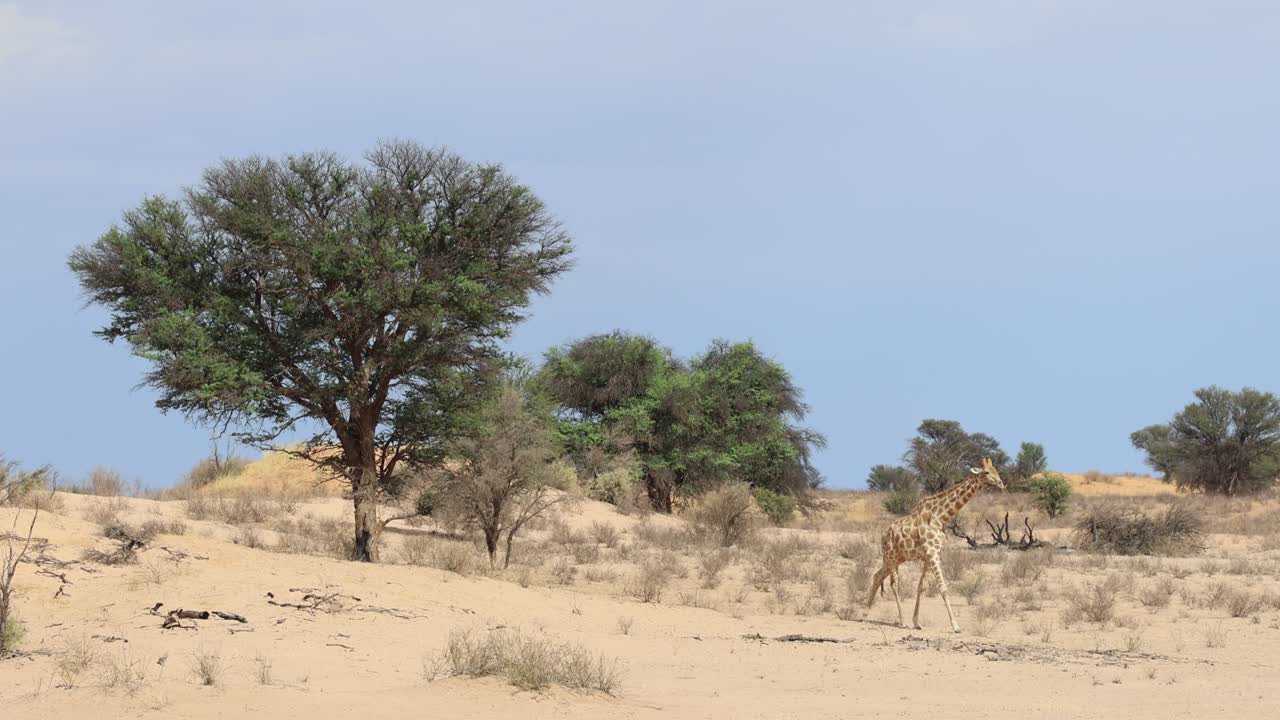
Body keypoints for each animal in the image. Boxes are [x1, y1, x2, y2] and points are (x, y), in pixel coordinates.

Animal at [866, 456, 1005, 632]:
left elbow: (921, 587)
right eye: (986, 472)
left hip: (897, 558)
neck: (940, 517)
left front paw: (917, 622)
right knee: (893, 583)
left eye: (996, 470)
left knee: (877, 576)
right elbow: (943, 588)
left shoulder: (930, 555)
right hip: (890, 556)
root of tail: (883, 535)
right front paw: (955, 625)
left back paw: (864, 614)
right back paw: (901, 621)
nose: (1001, 483)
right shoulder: (932, 554)